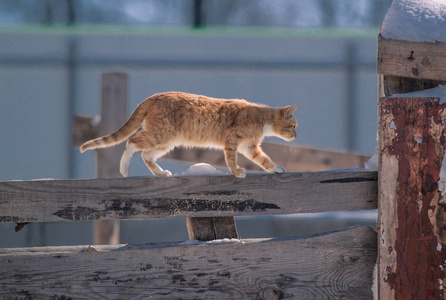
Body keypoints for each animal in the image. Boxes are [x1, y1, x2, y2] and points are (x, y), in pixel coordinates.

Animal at [80, 91, 296, 178]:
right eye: (293, 125)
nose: (295, 135)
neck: (261, 117)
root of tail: (152, 97)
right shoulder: (232, 139)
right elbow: (231, 159)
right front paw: (236, 172)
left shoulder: (249, 147)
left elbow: (264, 160)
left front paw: (276, 169)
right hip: (160, 134)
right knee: (132, 142)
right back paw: (124, 170)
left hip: (166, 141)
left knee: (146, 154)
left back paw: (160, 172)